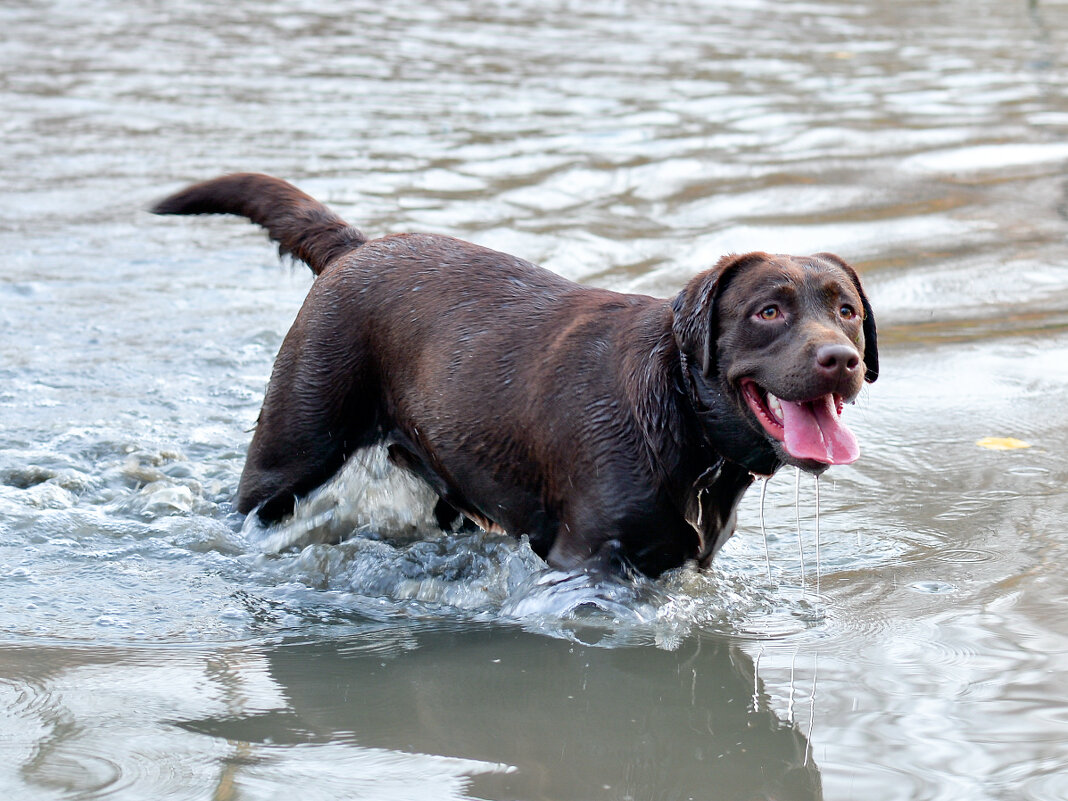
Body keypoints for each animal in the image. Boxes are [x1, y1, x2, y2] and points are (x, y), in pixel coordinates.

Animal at [152, 175, 875, 576]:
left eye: (845, 310)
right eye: (768, 311)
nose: (842, 359)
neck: (682, 418)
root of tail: (358, 246)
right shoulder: (587, 559)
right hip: (293, 446)